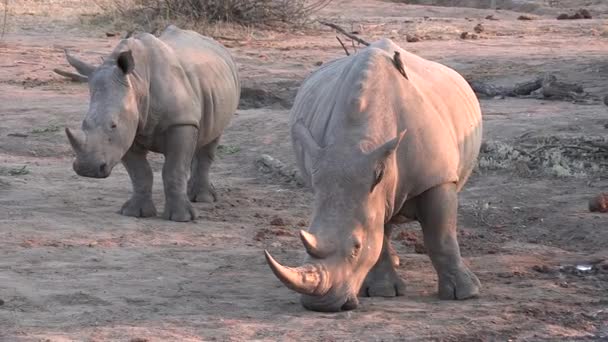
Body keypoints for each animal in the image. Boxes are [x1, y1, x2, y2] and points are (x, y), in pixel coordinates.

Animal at [64, 24, 239, 222]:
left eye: (113, 125)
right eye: (84, 124)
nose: (88, 169)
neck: (136, 82)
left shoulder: (180, 122)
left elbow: (173, 169)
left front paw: (181, 218)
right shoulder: (128, 130)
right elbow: (140, 173)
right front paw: (135, 213)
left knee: (212, 138)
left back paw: (203, 199)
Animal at [266, 38, 484, 312]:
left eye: (356, 248)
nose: (320, 305)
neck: (358, 143)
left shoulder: (437, 178)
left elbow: (440, 235)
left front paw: (465, 294)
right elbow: (377, 235)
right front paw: (382, 292)